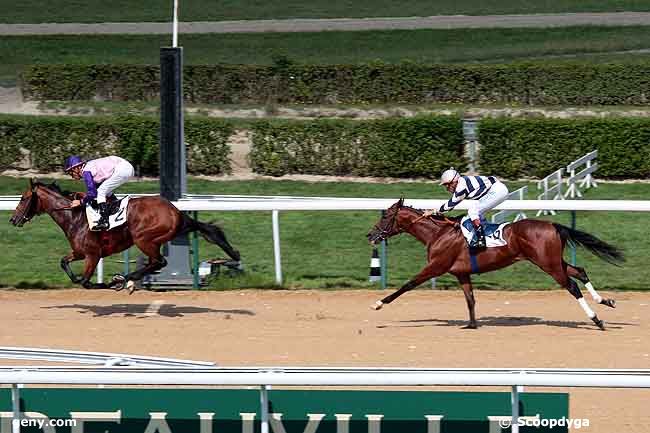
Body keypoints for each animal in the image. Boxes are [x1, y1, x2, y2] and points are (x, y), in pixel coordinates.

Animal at [9, 179, 240, 290]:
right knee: (155, 263)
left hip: (143, 238)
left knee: (159, 262)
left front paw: (105, 283)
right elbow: (64, 263)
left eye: (23, 198)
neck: (75, 217)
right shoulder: (79, 252)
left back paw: (122, 280)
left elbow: (86, 282)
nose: (13, 219)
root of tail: (176, 211)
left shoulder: (92, 255)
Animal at [364, 197, 624, 330]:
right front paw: (471, 324)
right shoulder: (461, 273)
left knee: (572, 285)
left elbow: (407, 285)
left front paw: (378, 303)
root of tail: (553, 225)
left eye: (385, 216)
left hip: (547, 264)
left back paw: (596, 319)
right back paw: (605, 301)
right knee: (580, 271)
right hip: (553, 260)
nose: (370, 235)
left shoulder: (436, 266)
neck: (438, 234)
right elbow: (470, 299)